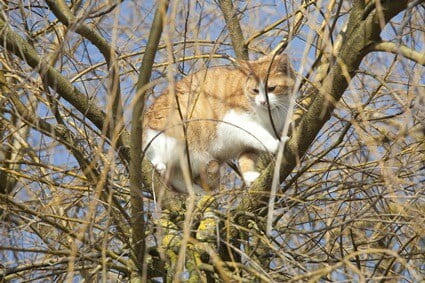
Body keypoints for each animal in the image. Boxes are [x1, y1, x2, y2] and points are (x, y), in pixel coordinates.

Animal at [144, 54, 294, 194]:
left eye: (271, 88)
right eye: (255, 90)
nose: (263, 102)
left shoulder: (249, 147)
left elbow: (246, 159)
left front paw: (250, 176)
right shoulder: (237, 121)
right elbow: (260, 134)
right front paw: (278, 143)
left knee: (177, 177)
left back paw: (198, 192)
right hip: (174, 135)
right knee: (156, 154)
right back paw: (158, 164)